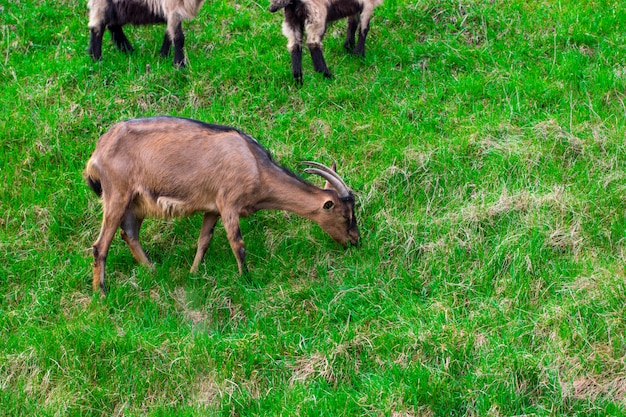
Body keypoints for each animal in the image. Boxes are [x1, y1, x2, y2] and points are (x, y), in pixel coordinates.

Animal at [83, 116, 358, 292]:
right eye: (346, 215)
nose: (356, 241)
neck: (255, 165)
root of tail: (97, 152)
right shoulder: (228, 204)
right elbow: (238, 244)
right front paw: (246, 279)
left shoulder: (212, 209)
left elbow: (203, 241)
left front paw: (193, 273)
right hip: (117, 194)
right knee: (100, 245)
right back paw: (101, 292)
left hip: (136, 202)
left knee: (129, 233)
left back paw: (152, 270)